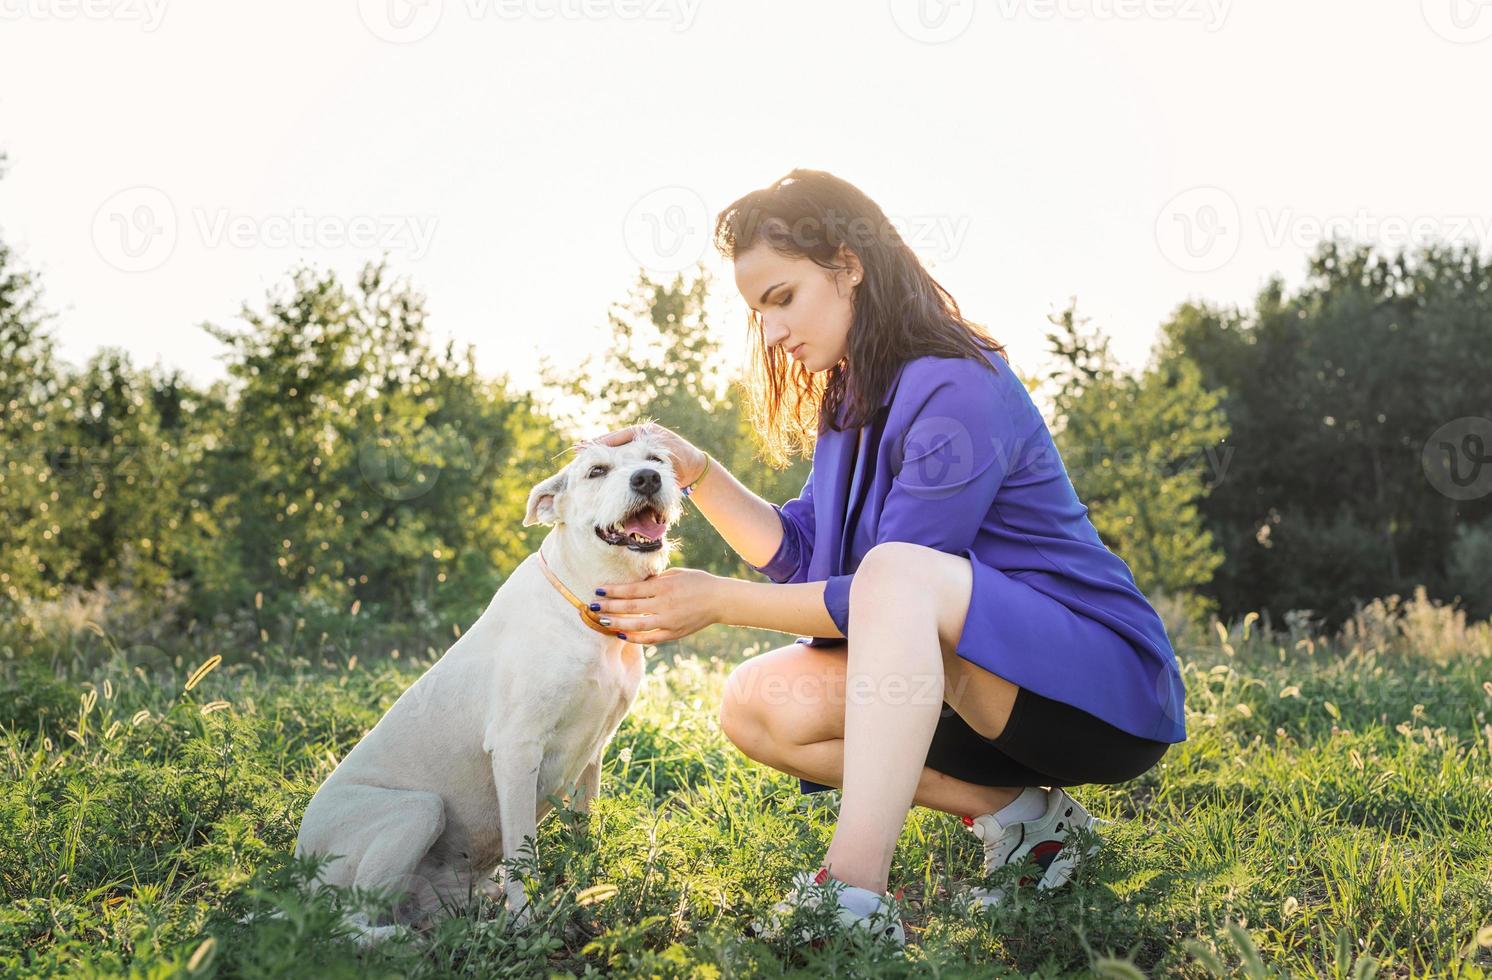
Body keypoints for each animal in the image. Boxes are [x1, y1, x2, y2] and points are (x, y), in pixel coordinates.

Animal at [289, 432, 683, 942]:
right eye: (596, 470)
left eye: (656, 459)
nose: (648, 479)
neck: (587, 609)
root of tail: (297, 870)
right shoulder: (517, 750)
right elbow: (522, 850)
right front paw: (527, 919)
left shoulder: (593, 753)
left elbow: (584, 831)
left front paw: (590, 887)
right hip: (419, 809)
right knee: (347, 922)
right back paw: (404, 939)